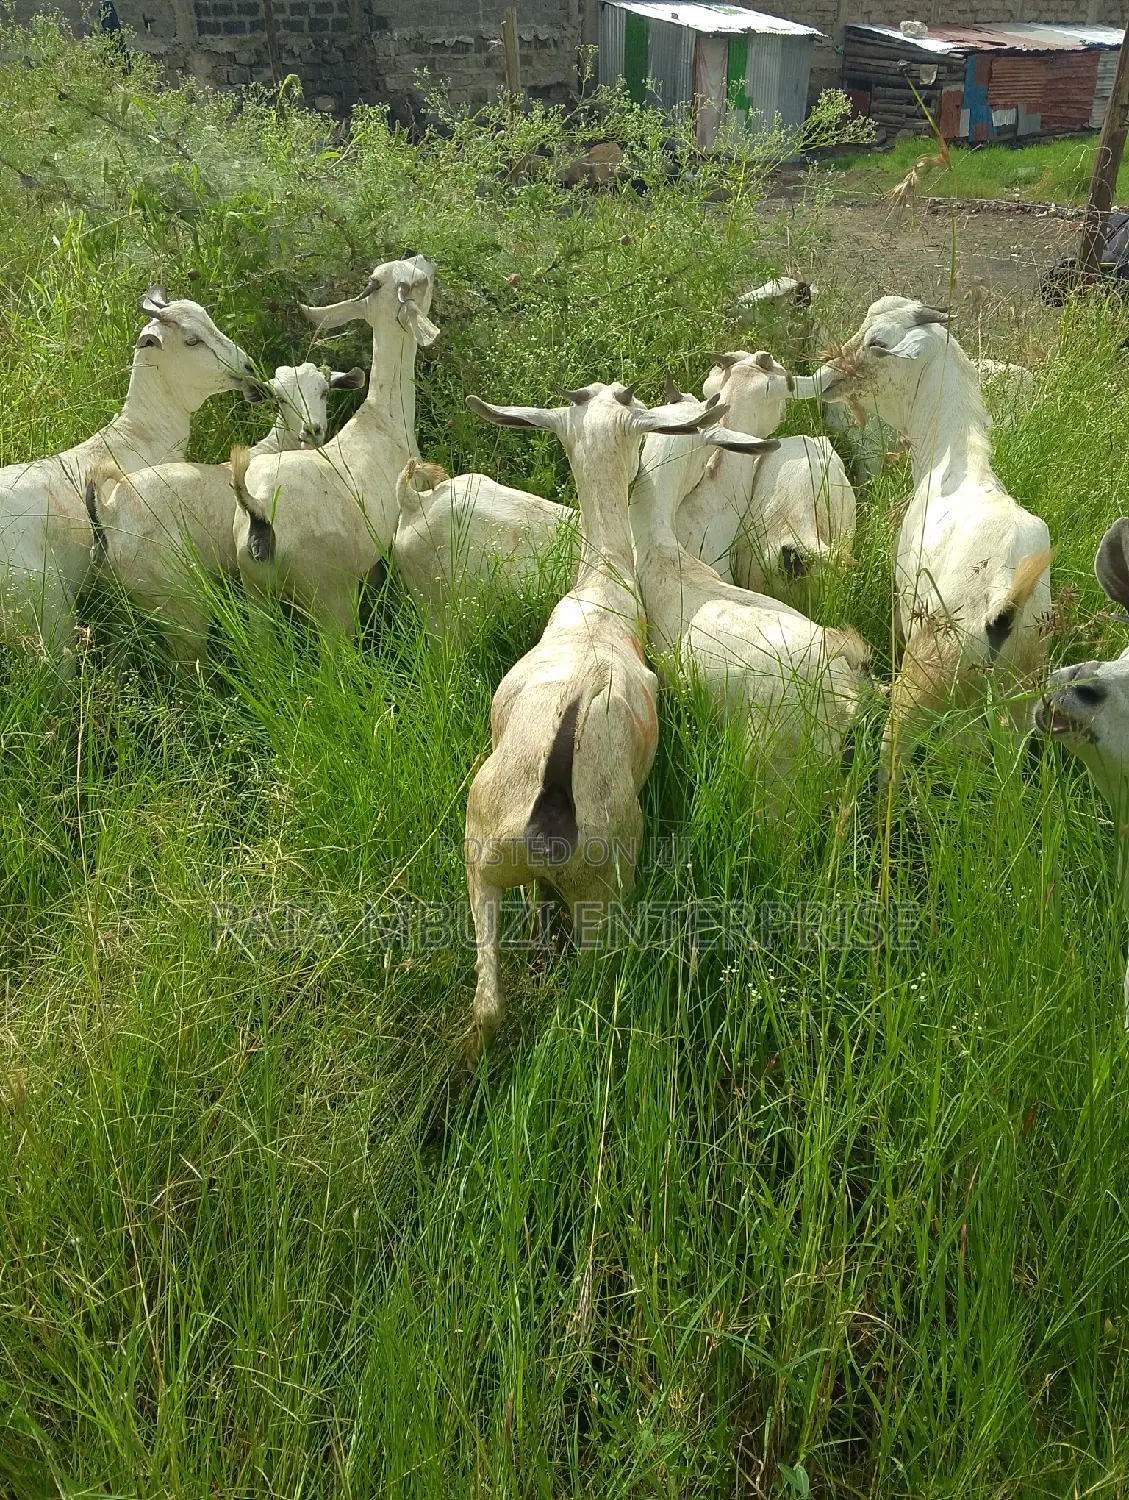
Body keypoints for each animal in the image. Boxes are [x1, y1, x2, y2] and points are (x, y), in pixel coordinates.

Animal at [87, 363, 365, 668]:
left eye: (325, 391)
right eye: (279, 399)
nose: (312, 429)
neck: (277, 448)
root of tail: (109, 513)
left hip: (117, 605)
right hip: (179, 601)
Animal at [232, 255, 438, 636]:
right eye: (419, 280)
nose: (426, 259)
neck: (385, 419)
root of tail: (260, 508)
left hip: (256, 595)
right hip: (328, 594)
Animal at [804, 296, 1051, 789]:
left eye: (878, 342)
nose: (828, 376)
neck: (952, 464)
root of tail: (1004, 604)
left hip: (923, 683)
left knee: (892, 758)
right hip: (1017, 710)